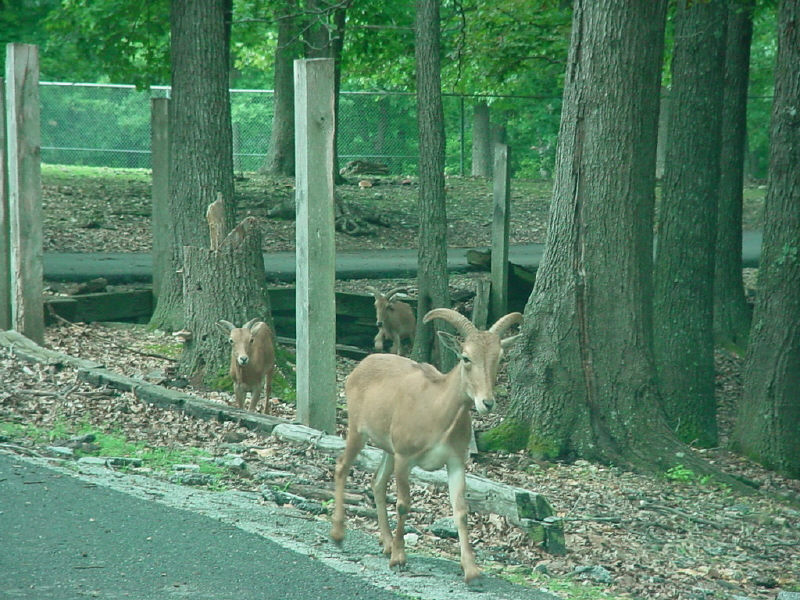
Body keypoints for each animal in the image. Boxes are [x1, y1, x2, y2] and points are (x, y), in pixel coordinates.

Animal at [330, 308, 523, 583]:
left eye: (499, 357)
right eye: (466, 357)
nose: (487, 403)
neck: (438, 411)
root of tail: (360, 366)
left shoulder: (455, 461)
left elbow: (461, 510)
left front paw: (471, 570)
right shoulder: (405, 457)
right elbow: (403, 504)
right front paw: (399, 558)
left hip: (388, 448)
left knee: (377, 483)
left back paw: (385, 542)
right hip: (358, 429)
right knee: (342, 466)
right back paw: (338, 534)